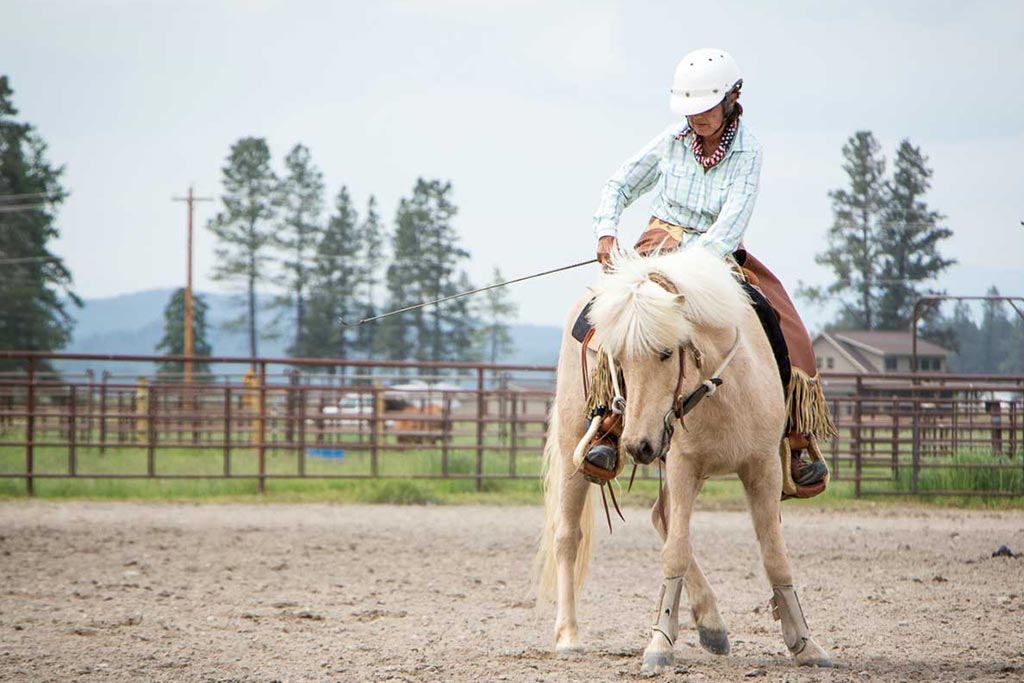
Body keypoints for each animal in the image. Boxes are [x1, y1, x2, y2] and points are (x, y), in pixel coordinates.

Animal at [536, 245, 831, 671]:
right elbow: (674, 553)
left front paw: (806, 644)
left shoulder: (762, 468)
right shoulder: (682, 466)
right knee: (568, 536)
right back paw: (568, 637)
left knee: (662, 517)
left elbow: (775, 556)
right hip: (575, 439)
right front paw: (659, 645)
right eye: (618, 358)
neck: (723, 388)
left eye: (665, 353)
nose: (639, 444)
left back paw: (712, 625)